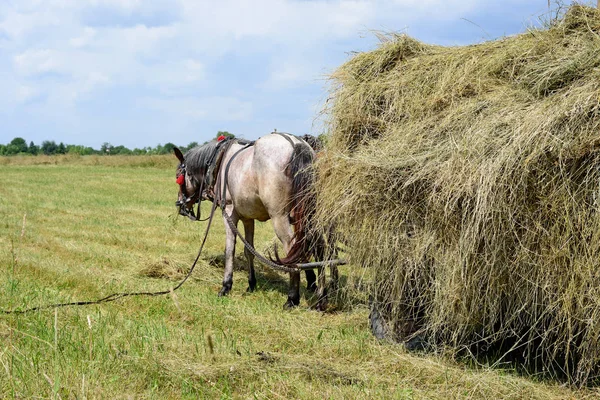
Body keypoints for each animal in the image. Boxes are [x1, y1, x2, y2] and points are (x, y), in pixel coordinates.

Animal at [173, 133, 332, 308]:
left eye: (178, 177)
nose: (180, 205)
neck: (218, 161)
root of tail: (296, 143)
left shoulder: (229, 213)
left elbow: (230, 249)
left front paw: (226, 286)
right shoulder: (248, 218)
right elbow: (249, 250)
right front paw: (251, 284)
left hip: (280, 217)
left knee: (292, 247)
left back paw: (292, 298)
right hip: (310, 215)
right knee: (318, 247)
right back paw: (321, 297)